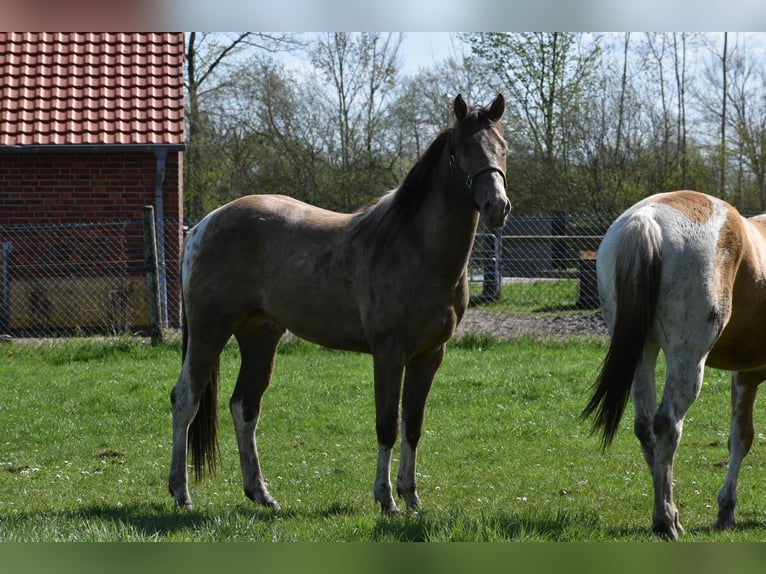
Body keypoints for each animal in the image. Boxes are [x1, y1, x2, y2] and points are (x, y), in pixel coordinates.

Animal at [168, 94, 511, 514]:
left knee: (244, 407)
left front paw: (412, 497)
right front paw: (386, 499)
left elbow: (412, 426)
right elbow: (387, 426)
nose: (498, 206)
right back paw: (181, 492)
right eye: (464, 148)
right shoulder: (389, 353)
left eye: (503, 147)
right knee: (186, 400)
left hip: (260, 335)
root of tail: (204, 225)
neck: (414, 250)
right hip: (209, 331)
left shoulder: (429, 356)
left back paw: (261, 493)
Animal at [583, 189, 766, 539]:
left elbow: (740, 438)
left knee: (644, 426)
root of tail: (646, 220)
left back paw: (669, 515)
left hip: (642, 353)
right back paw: (666, 520)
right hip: (687, 360)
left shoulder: (745, 375)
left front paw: (726, 512)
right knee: (667, 423)